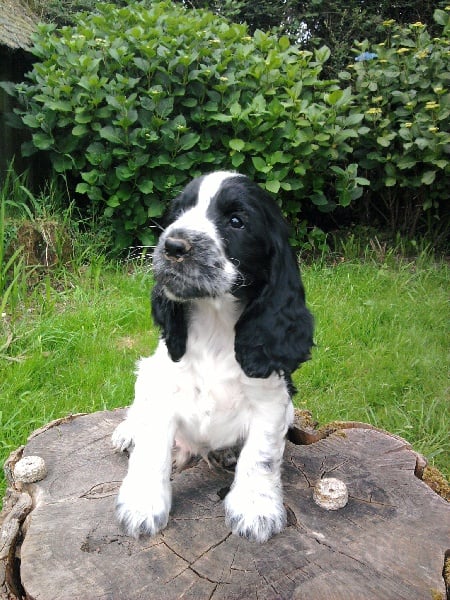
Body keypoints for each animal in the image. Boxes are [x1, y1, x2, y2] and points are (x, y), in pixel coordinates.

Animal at [112, 171, 314, 542]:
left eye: (236, 221)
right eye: (178, 212)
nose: (173, 245)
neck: (215, 325)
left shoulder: (271, 400)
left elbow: (261, 455)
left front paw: (255, 509)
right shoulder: (163, 391)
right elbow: (151, 449)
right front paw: (142, 506)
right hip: (149, 371)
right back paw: (127, 431)